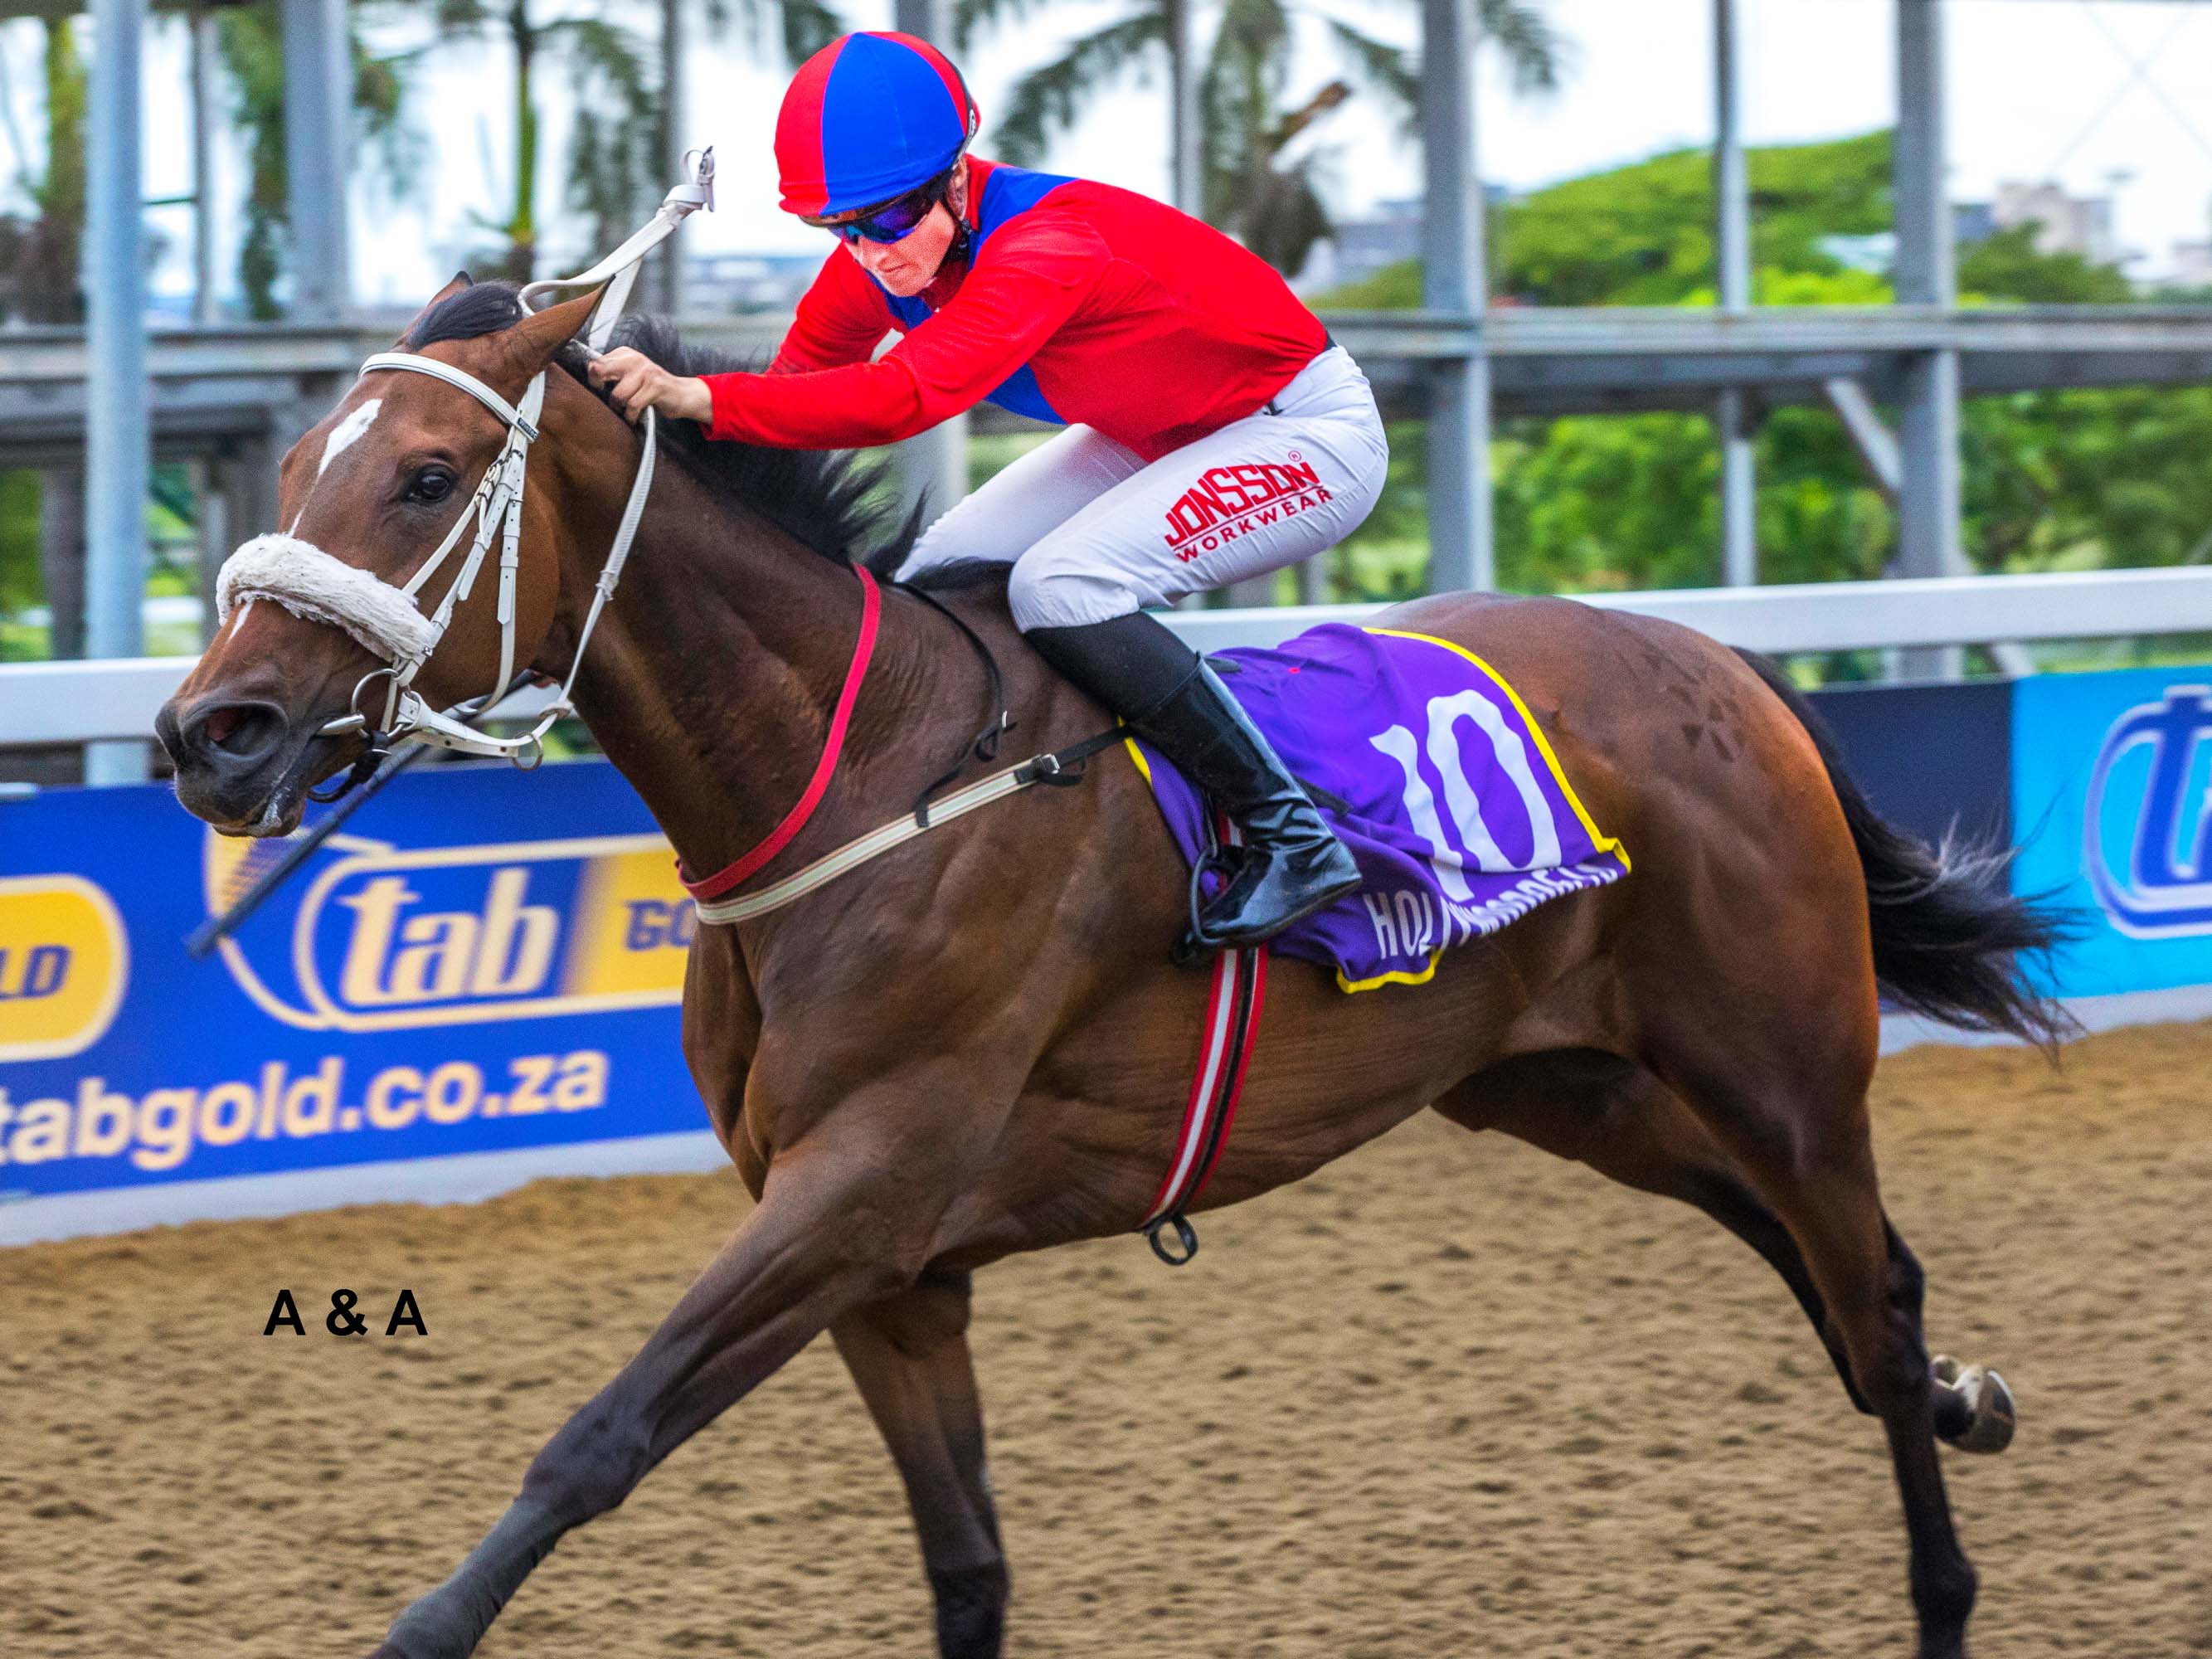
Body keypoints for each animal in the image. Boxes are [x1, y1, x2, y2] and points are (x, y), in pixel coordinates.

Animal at [156, 276, 2066, 1659]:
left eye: (420, 479)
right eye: (292, 474)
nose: (208, 733)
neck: (866, 779)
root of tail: (1727, 672)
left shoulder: (861, 1187)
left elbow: (591, 1441)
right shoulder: (892, 1267)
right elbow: (967, 1570)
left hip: (1778, 1065)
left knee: (1869, 1299)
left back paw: (1944, 1574)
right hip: (1565, 1082)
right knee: (1833, 1280)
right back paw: (1963, 1396)